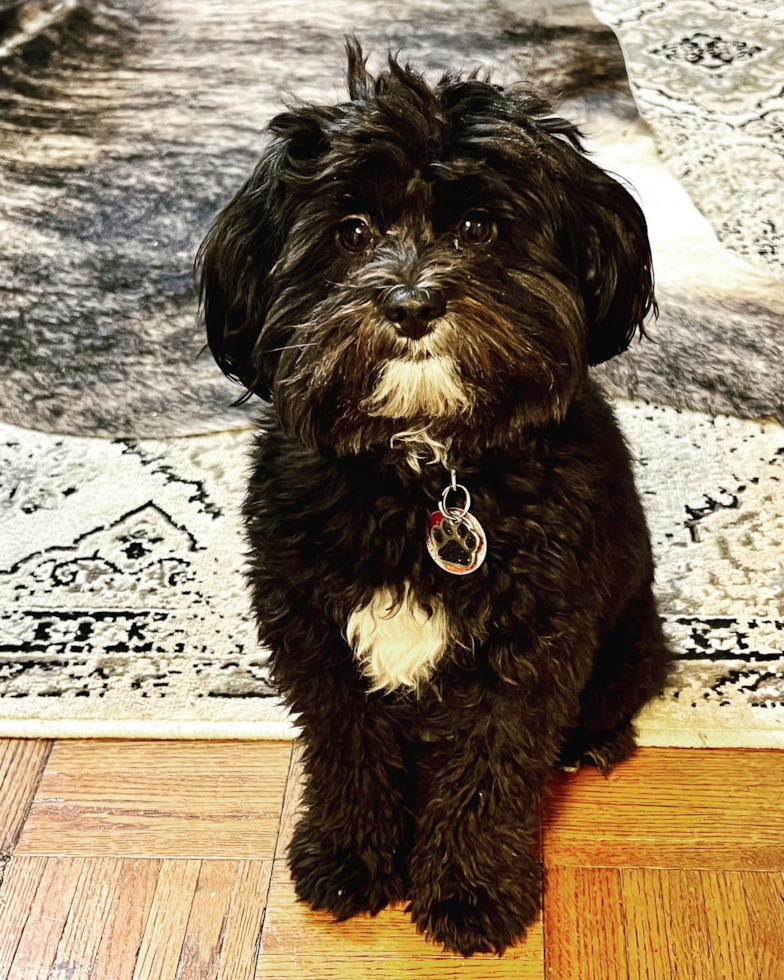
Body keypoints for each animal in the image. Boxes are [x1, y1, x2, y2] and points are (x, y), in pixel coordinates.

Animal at [196, 44, 668, 956]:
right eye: (351, 232)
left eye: (477, 227)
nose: (411, 303)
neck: (425, 468)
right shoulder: (316, 635)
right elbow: (350, 754)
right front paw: (348, 857)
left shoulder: (527, 648)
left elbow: (488, 772)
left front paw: (472, 892)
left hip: (628, 635)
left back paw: (588, 740)